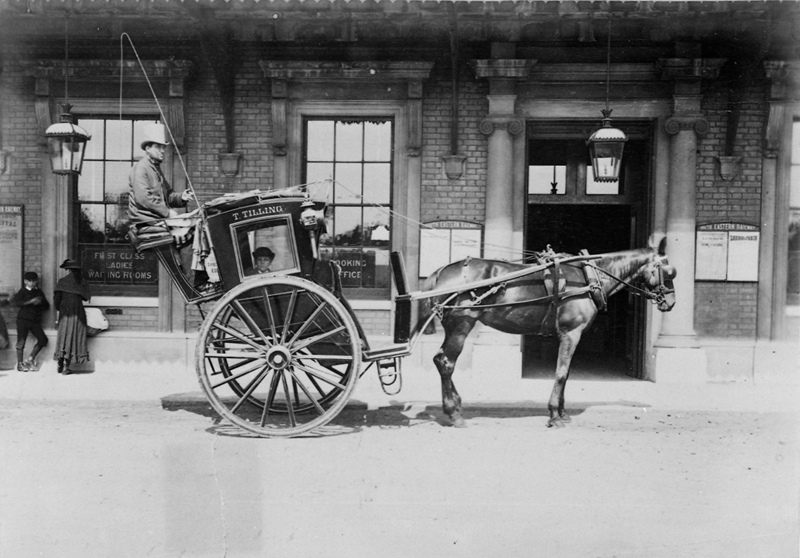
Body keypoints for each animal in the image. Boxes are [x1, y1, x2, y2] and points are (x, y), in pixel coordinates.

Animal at [418, 240, 676, 428]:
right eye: (669, 271)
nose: (671, 302)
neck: (588, 277)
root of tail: (441, 271)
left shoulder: (571, 336)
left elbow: (567, 374)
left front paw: (562, 413)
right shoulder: (571, 334)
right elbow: (561, 373)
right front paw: (554, 414)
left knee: (439, 360)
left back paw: (456, 405)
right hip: (461, 325)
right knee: (447, 363)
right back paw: (454, 414)